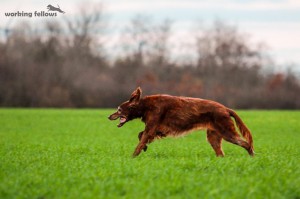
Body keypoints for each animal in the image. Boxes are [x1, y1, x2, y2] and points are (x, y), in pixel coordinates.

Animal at [108, 87, 253, 157]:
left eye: (119, 109)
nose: (109, 116)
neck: (145, 106)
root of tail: (225, 109)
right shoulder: (157, 129)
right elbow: (140, 135)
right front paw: (144, 148)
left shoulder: (151, 128)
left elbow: (141, 140)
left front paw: (133, 157)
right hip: (213, 136)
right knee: (221, 153)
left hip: (226, 132)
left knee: (246, 144)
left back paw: (252, 157)